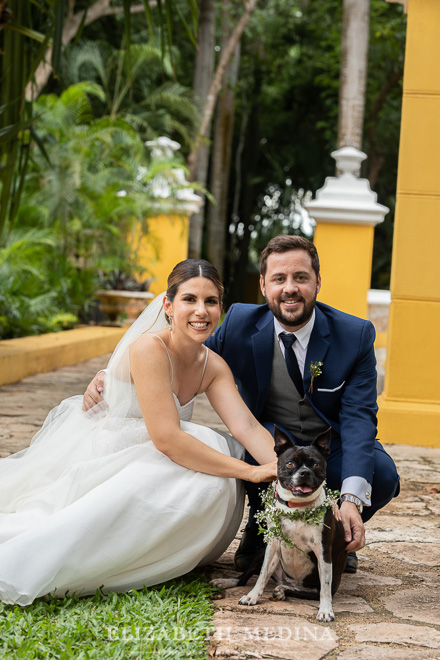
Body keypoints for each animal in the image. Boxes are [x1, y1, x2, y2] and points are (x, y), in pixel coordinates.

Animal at [212, 426, 348, 620]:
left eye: (316, 465)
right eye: (290, 464)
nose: (305, 472)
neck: (296, 508)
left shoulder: (323, 551)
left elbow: (325, 587)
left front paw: (325, 610)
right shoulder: (273, 545)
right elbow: (262, 575)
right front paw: (252, 597)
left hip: (312, 584)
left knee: (304, 590)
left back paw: (283, 590)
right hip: (261, 553)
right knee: (244, 577)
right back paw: (227, 581)